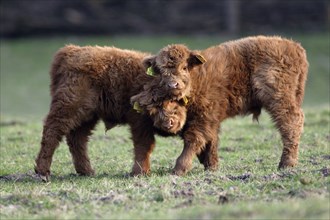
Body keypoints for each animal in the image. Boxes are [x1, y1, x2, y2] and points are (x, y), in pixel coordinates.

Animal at [35, 45, 188, 182]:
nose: (168, 122)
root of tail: (71, 51)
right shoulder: (139, 122)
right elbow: (144, 145)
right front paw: (141, 173)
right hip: (69, 107)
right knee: (52, 131)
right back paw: (43, 173)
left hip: (88, 116)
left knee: (77, 138)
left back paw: (87, 171)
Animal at [133, 35, 308, 175]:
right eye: (161, 71)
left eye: (184, 67)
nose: (173, 84)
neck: (197, 79)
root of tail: (294, 47)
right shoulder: (211, 120)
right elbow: (211, 141)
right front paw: (211, 166)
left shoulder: (204, 117)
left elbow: (194, 140)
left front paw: (180, 169)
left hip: (279, 99)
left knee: (290, 124)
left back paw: (286, 164)